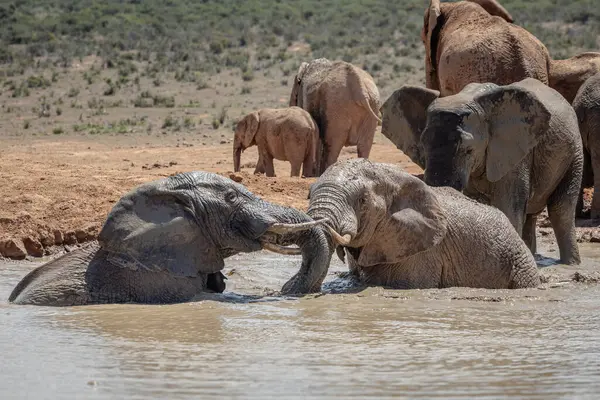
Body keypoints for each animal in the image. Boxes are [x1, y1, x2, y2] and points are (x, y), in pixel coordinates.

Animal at [382, 77, 584, 266]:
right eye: (423, 145)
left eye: (469, 150)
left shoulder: (513, 152)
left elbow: (507, 206)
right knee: (531, 214)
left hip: (575, 151)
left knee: (561, 209)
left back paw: (570, 264)